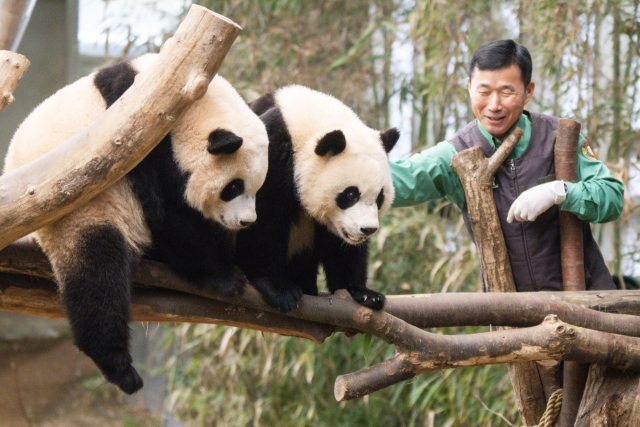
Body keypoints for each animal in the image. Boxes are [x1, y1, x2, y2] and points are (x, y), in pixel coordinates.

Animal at [1, 53, 268, 394]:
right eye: (233, 187)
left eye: (257, 188)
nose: (246, 221)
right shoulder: (145, 143)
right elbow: (174, 220)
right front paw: (222, 276)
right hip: (78, 213)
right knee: (97, 277)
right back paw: (119, 367)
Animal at [235, 87, 396, 312]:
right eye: (351, 194)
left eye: (380, 197)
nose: (367, 230)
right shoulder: (270, 152)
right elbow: (263, 219)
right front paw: (280, 289)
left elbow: (341, 248)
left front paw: (363, 294)